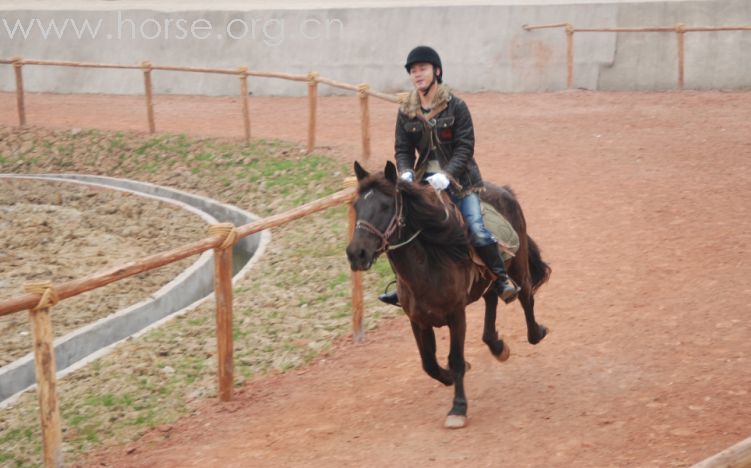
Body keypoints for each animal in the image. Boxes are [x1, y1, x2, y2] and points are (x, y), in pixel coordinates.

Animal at [346, 161, 552, 428]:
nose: (356, 253)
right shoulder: (418, 320)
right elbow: (429, 363)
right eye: (356, 206)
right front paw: (450, 377)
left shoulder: (456, 316)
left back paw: (536, 332)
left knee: (526, 296)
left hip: (518, 264)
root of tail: (505, 191)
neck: (427, 265)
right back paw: (497, 346)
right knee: (491, 299)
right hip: (486, 280)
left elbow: (455, 359)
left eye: (386, 206)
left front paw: (458, 408)